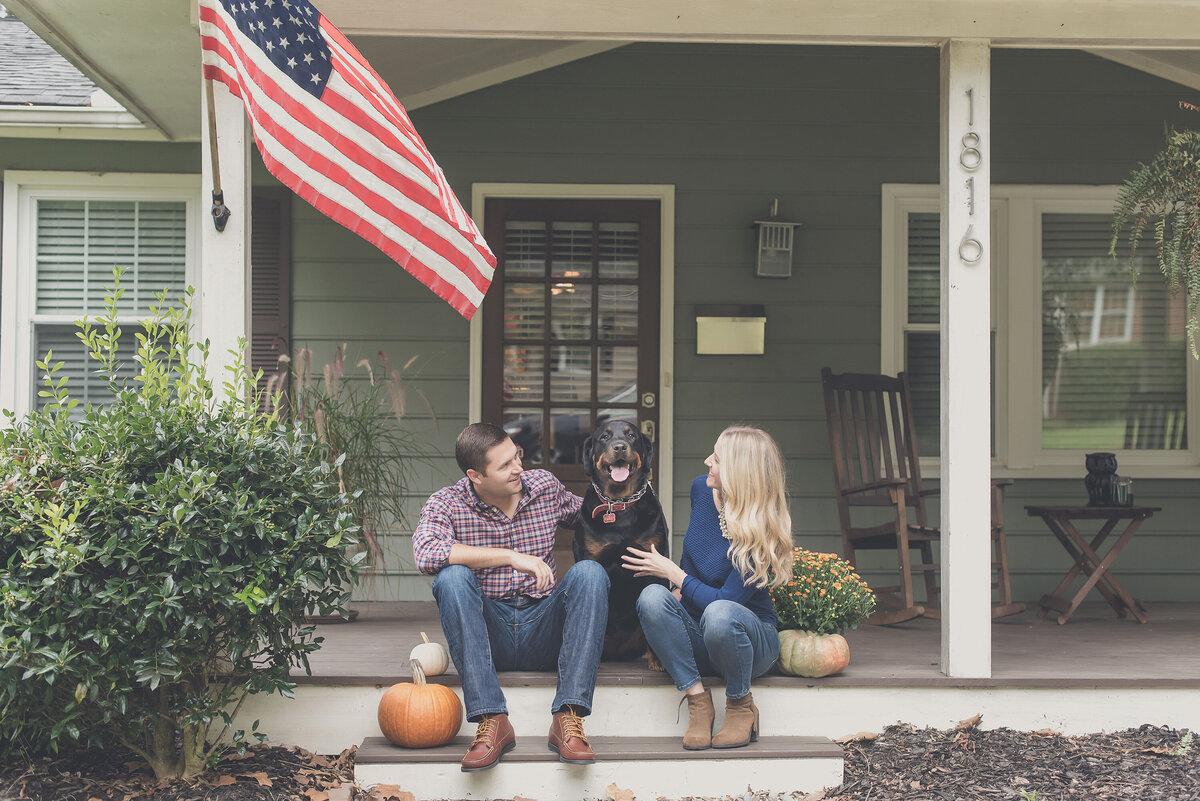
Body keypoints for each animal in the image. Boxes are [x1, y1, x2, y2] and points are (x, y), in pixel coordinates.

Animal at [571, 419, 667, 661]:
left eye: (631, 435)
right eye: (604, 437)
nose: (620, 447)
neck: (619, 503)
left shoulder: (655, 561)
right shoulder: (591, 558)